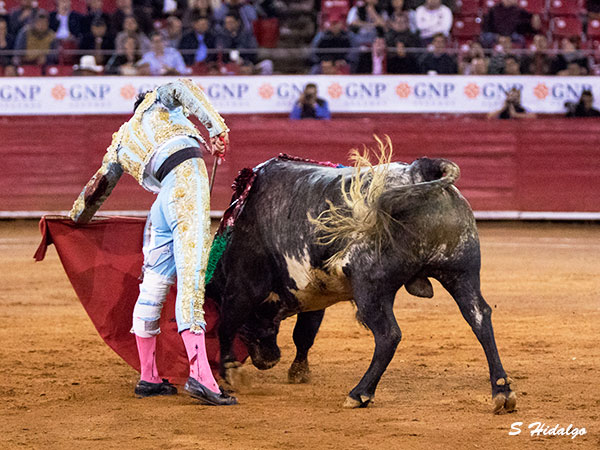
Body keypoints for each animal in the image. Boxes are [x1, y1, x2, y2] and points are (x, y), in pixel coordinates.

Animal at [206, 142, 516, 414]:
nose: (268, 361)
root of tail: (418, 171)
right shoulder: (314, 293)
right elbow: (304, 333)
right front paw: (298, 371)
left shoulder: (242, 287)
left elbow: (228, 325)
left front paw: (230, 373)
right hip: (462, 273)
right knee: (479, 317)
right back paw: (502, 391)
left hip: (371, 287)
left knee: (388, 335)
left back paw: (360, 393)